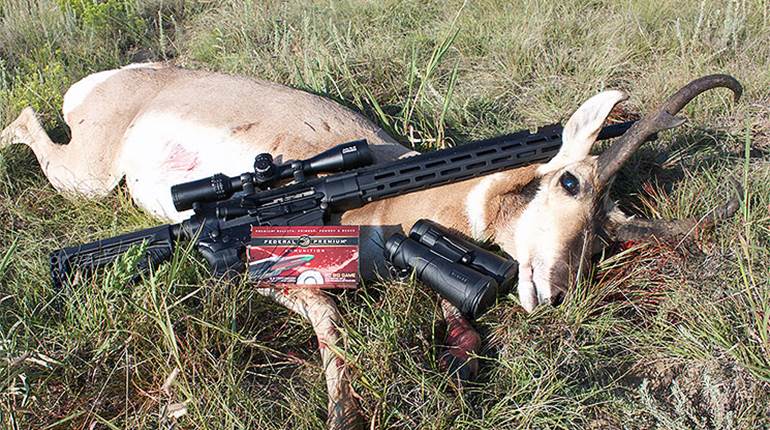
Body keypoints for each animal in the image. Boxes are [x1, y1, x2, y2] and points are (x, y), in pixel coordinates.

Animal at [0, 64, 741, 429]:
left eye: (604, 239)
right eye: (569, 181)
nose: (555, 293)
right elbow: (333, 327)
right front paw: (342, 412)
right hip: (87, 177)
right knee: (25, 119)